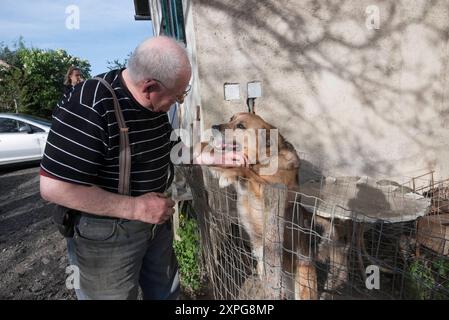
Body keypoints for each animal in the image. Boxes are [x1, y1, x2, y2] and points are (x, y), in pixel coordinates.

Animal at [194, 112, 324, 298]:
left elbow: (246, 170)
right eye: (231, 118)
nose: (214, 127)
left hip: (303, 286)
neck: (263, 159)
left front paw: (229, 174)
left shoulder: (269, 188)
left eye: (240, 126)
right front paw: (203, 148)